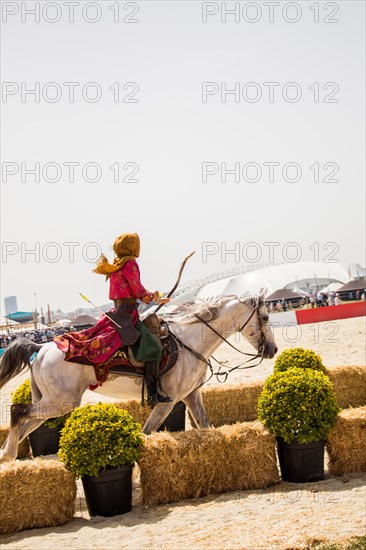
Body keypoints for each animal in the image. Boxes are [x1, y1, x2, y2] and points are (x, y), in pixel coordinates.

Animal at [0, 296, 276, 464]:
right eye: (265, 317)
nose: (272, 350)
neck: (190, 341)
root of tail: (41, 348)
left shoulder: (191, 396)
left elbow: (204, 426)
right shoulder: (166, 403)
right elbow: (146, 433)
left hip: (51, 403)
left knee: (25, 424)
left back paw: (6, 454)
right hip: (61, 402)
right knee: (17, 411)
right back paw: (9, 453)